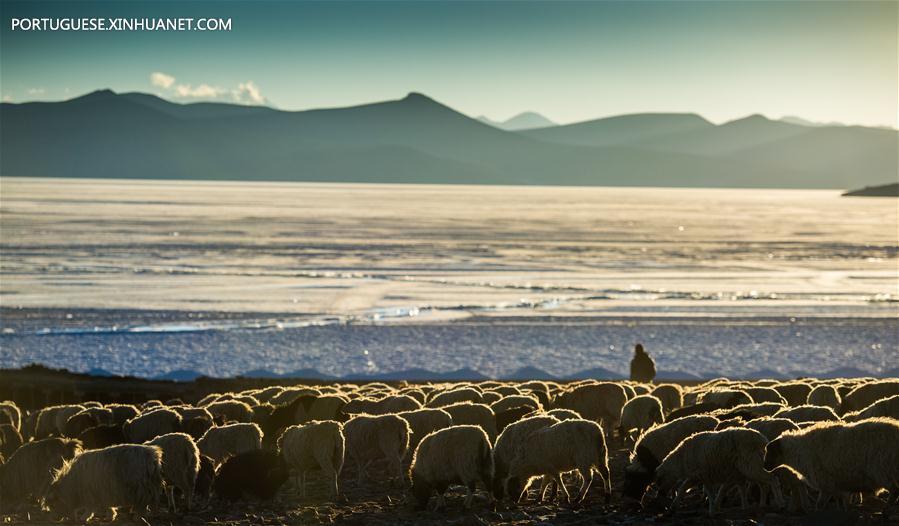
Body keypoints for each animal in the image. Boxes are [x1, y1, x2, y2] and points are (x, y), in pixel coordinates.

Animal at [764, 418, 899, 510]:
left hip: (883, 470)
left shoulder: (826, 483)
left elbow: (821, 504)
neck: (799, 450)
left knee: (894, 491)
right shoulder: (836, 485)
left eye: (770, 452)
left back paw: (886, 511)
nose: (765, 467)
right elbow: (840, 504)